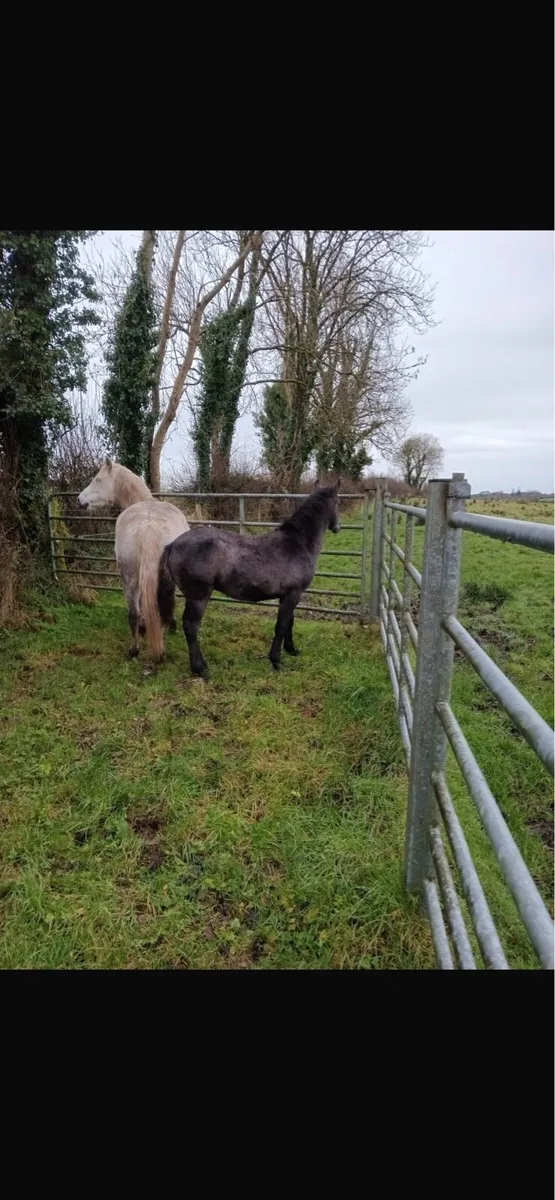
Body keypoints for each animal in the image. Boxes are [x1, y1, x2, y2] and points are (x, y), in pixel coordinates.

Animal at [77, 459, 189, 662]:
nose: (79, 500)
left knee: (134, 613)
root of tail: (148, 525)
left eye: (98, 479)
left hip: (129, 576)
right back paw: (158, 647)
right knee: (159, 610)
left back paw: (135, 650)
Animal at [157, 480, 341, 679]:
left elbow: (290, 623)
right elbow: (282, 626)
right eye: (338, 502)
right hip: (198, 597)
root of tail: (173, 544)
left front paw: (292, 650)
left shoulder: (291, 595)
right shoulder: (292, 595)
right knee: (191, 627)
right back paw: (200, 669)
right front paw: (276, 661)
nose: (338, 528)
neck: (297, 542)